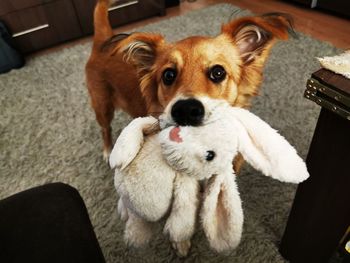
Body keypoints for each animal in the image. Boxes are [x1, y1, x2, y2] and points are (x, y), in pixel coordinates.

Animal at [85, 0, 292, 169]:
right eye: (168, 75)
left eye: (218, 72)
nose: (185, 110)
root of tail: (101, 43)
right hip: (102, 106)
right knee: (105, 129)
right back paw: (107, 151)